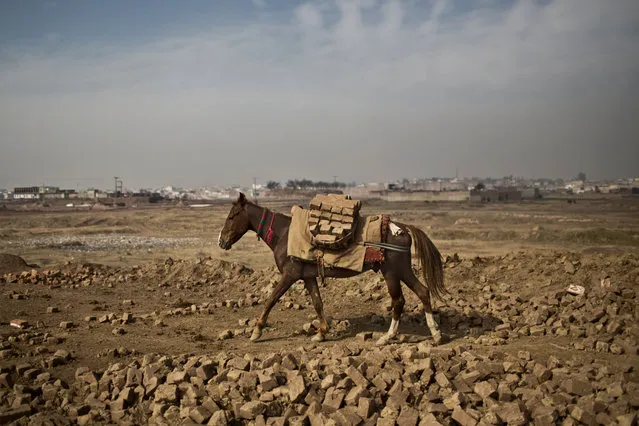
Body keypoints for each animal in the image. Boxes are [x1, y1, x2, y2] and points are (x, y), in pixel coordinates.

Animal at [218, 193, 448, 346]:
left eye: (231, 216)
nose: (221, 241)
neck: (284, 235)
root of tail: (403, 229)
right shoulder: (307, 277)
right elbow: (317, 303)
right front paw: (321, 333)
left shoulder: (290, 275)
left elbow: (271, 299)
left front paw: (256, 332)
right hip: (403, 270)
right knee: (423, 291)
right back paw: (436, 335)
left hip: (391, 271)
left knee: (399, 301)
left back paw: (387, 337)